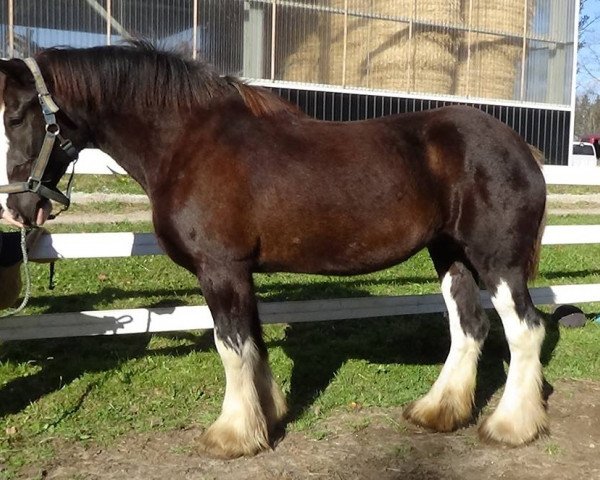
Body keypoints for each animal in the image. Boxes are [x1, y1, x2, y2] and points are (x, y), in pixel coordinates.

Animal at [0, 44, 548, 458]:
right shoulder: (240, 273)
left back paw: (511, 427)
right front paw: (268, 416)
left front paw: (232, 434)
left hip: (498, 262)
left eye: (16, 115)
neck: (188, 142)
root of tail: (521, 147)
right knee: (469, 328)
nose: (19, 208)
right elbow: (253, 345)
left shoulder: (220, 270)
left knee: (525, 330)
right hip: (450, 256)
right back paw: (439, 412)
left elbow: (230, 346)